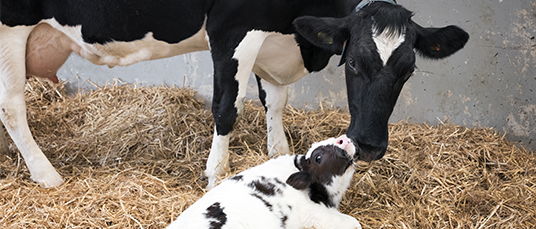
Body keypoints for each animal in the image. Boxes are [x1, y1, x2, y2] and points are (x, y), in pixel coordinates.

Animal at [0, 0, 468, 188]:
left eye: (408, 70)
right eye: (352, 63)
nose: (369, 145)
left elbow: (275, 104)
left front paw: (279, 155)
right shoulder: (233, 28)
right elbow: (227, 106)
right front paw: (215, 175)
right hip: (9, 26)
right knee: (11, 106)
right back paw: (46, 174)